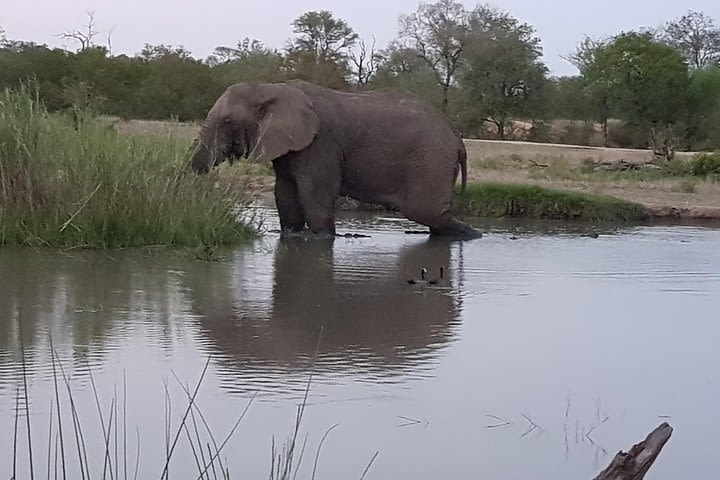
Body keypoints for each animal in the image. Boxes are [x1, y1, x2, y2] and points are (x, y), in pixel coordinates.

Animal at [190, 80, 484, 242]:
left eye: (228, 122)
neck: (272, 87)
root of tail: (457, 138)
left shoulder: (321, 144)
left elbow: (315, 194)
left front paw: (320, 238)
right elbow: (285, 194)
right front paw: (292, 236)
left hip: (430, 160)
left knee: (425, 212)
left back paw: (473, 235)